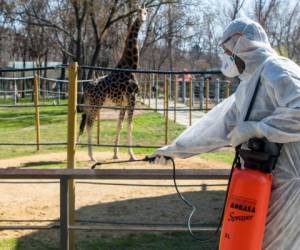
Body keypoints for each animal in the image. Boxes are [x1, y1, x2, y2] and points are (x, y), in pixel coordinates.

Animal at [78, 6, 147, 162]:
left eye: (146, 12)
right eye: (138, 12)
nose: (142, 19)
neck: (131, 65)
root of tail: (86, 87)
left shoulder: (123, 103)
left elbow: (119, 125)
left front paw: (115, 153)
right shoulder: (132, 98)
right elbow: (130, 125)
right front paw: (132, 155)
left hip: (89, 104)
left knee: (84, 123)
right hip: (96, 104)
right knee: (90, 124)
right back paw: (91, 156)